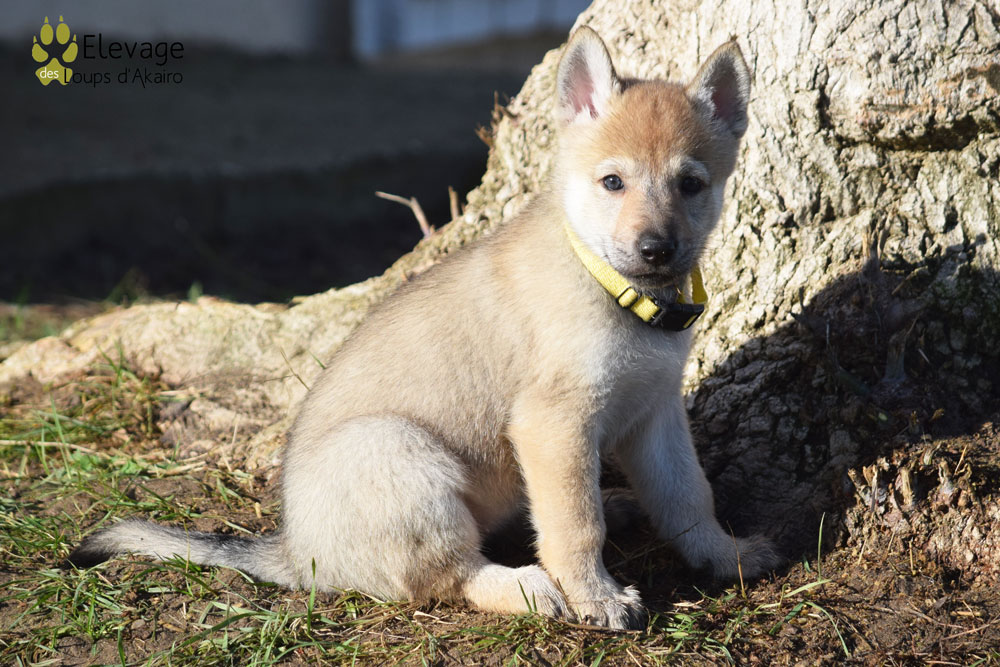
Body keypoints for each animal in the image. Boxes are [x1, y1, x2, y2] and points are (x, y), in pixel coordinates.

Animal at [69, 27, 779, 629]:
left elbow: (689, 498)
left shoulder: (655, 415)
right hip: (402, 455)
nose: (658, 249)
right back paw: (528, 586)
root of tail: (296, 550)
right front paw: (594, 596)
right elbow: (576, 524)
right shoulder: (554, 426)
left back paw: (618, 511)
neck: (617, 290)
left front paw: (726, 557)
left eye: (691, 184)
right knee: (452, 576)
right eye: (612, 182)